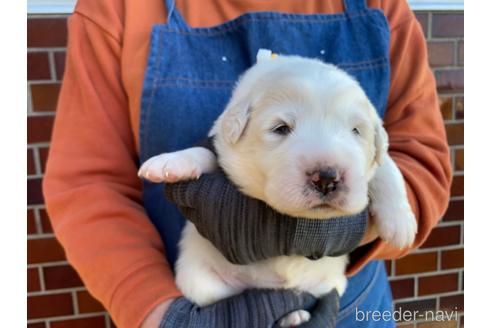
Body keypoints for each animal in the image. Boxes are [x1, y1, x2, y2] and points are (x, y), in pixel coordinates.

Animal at [140, 53, 418, 326]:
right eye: (281, 128)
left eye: (356, 130)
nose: (327, 178)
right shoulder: (219, 151)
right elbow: (203, 153)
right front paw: (170, 162)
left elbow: (388, 170)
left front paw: (401, 222)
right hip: (200, 282)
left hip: (331, 284)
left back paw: (295, 316)